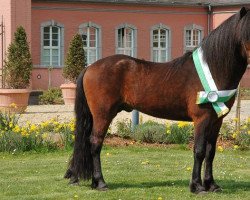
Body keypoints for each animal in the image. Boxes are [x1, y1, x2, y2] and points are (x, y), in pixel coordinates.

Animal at [65, 7, 250, 194]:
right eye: (246, 34)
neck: (213, 68)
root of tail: (89, 67)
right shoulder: (201, 119)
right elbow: (199, 151)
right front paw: (197, 186)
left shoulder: (216, 120)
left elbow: (210, 152)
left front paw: (211, 184)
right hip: (103, 114)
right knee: (95, 143)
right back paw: (100, 182)